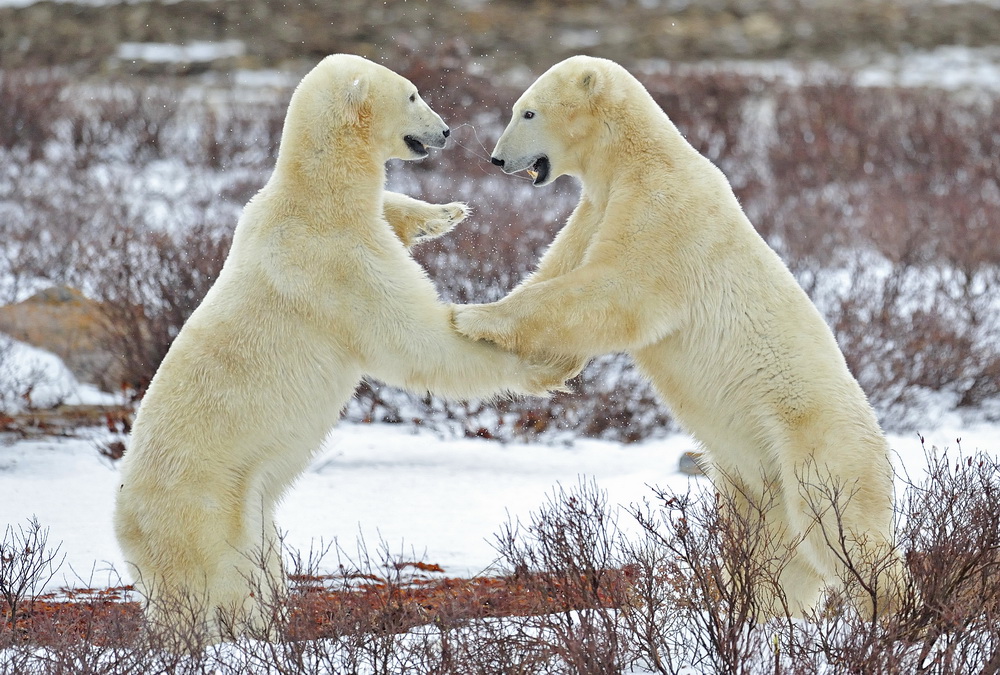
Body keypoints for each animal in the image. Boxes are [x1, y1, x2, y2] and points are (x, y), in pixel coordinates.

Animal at [114, 52, 580, 640]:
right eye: (412, 94)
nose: (446, 131)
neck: (315, 195)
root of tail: (127, 527)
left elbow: (389, 219)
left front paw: (443, 212)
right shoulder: (338, 262)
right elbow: (412, 339)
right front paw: (545, 364)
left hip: (243, 508)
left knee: (260, 565)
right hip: (203, 508)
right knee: (222, 586)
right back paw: (249, 635)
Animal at [454, 56, 908, 616]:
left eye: (528, 111)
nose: (497, 159)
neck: (636, 159)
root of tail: (877, 435)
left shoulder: (662, 214)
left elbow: (615, 291)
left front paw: (472, 317)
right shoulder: (596, 208)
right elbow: (558, 270)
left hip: (818, 446)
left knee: (839, 531)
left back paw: (893, 612)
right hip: (757, 477)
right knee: (775, 552)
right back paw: (757, 615)